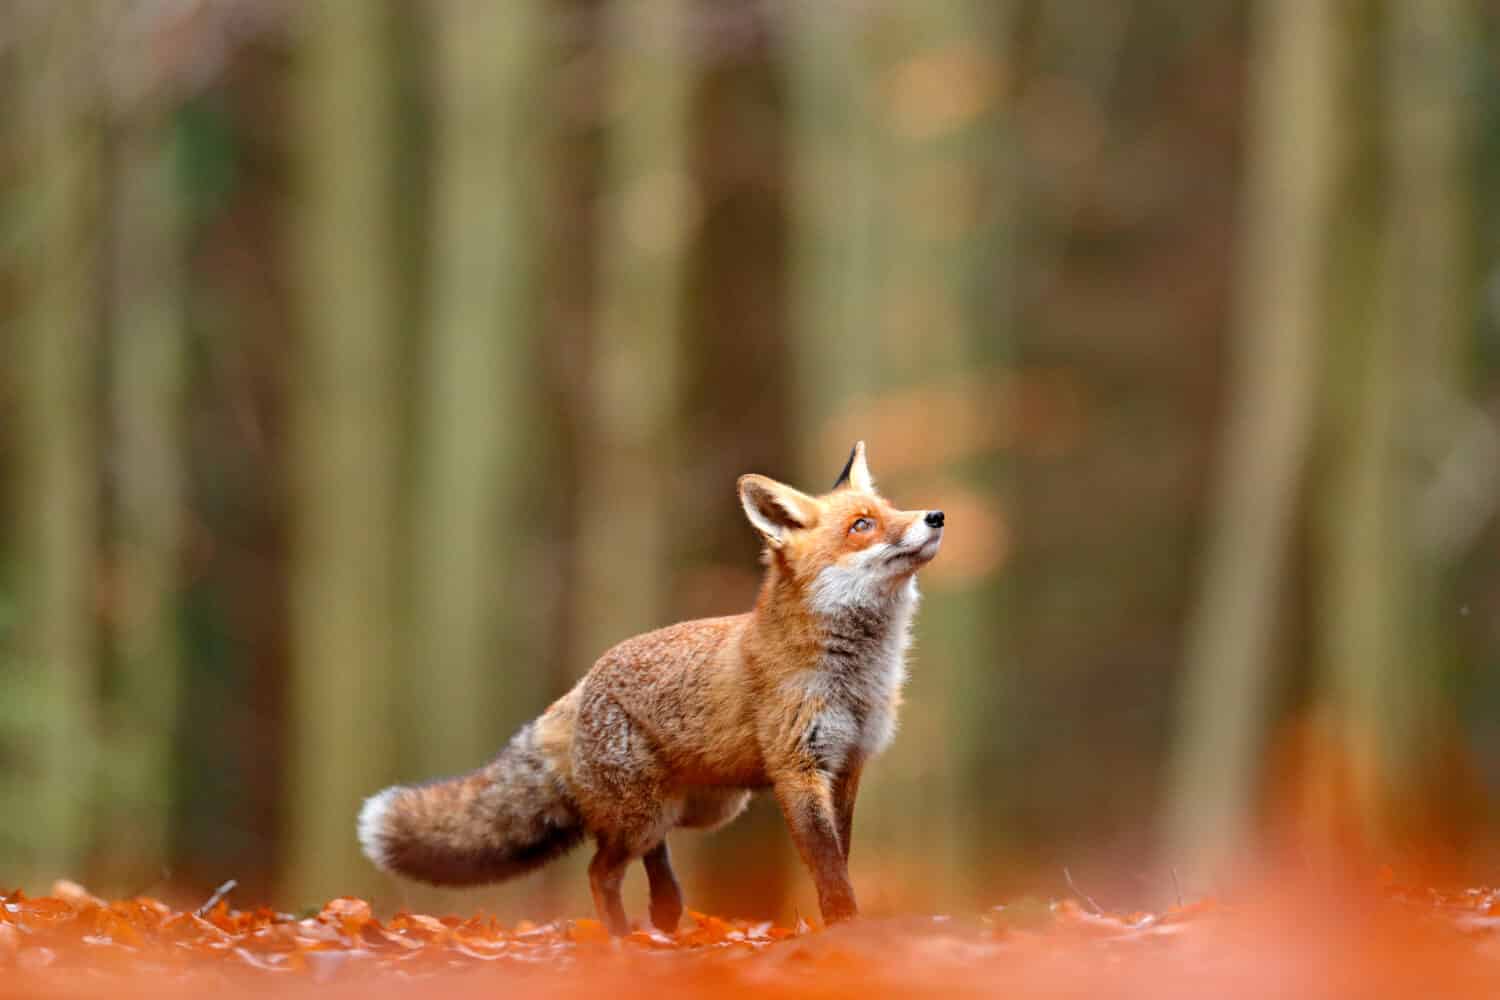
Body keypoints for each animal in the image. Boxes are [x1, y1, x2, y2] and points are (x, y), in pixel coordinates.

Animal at [357, 440, 942, 935]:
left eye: (891, 509)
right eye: (862, 525)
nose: (935, 516)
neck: (857, 676)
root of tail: (581, 684)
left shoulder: (848, 764)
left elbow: (840, 856)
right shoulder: (799, 768)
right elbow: (827, 867)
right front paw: (845, 928)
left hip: (698, 807)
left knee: (651, 858)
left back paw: (664, 917)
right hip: (646, 812)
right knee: (601, 871)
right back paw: (621, 942)